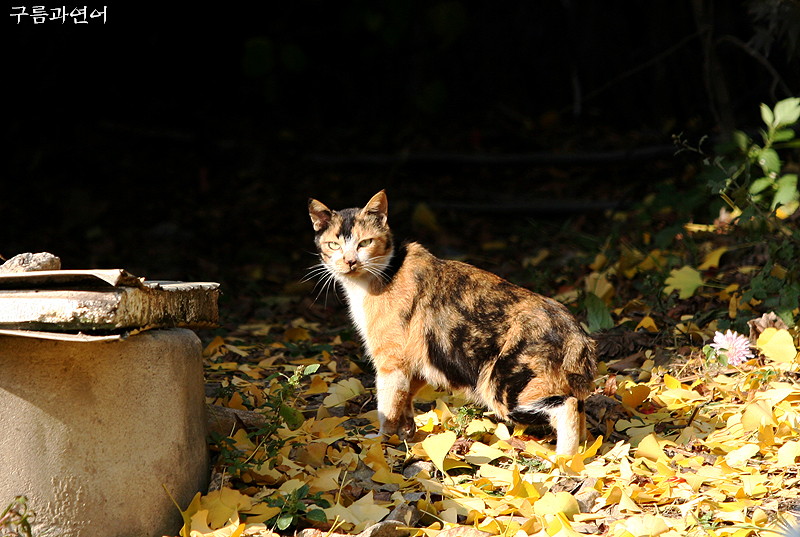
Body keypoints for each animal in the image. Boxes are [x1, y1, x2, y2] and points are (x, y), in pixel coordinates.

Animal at [310, 188, 596, 452]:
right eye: (334, 245)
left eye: (365, 243)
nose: (350, 261)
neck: (381, 276)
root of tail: (574, 329)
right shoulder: (419, 360)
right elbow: (406, 398)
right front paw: (407, 433)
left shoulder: (391, 360)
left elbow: (388, 404)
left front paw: (382, 440)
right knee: (579, 406)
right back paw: (582, 454)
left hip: (505, 386)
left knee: (568, 405)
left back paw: (564, 460)